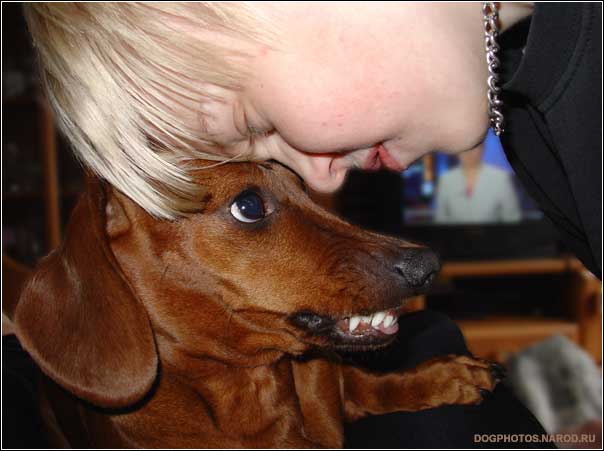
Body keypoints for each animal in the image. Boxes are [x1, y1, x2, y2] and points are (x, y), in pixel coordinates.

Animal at [9, 162, 502, 448]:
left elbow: (368, 385)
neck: (254, 387)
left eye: (303, 188)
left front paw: (443, 376)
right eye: (248, 205)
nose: (428, 265)